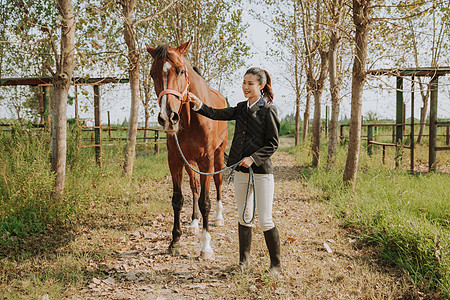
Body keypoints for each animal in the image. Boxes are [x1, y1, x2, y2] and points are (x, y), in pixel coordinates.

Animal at [146, 41, 227, 258]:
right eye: (152, 74)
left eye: (181, 71)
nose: (168, 117)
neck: (191, 120)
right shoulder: (175, 160)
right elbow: (178, 199)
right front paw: (175, 241)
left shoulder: (206, 161)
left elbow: (205, 201)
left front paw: (206, 247)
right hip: (190, 162)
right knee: (194, 186)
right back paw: (193, 224)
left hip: (218, 156)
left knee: (218, 183)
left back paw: (218, 218)